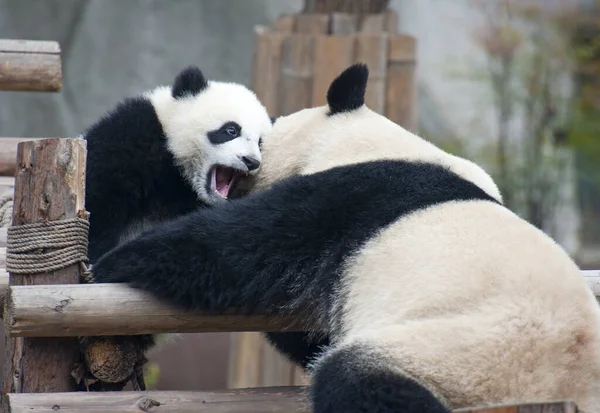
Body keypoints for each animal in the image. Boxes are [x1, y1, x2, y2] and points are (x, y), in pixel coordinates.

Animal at [90, 62, 600, 410]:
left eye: (263, 138)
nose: (251, 165)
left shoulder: (354, 197)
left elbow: (243, 251)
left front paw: (116, 262)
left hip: (467, 358)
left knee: (355, 381)